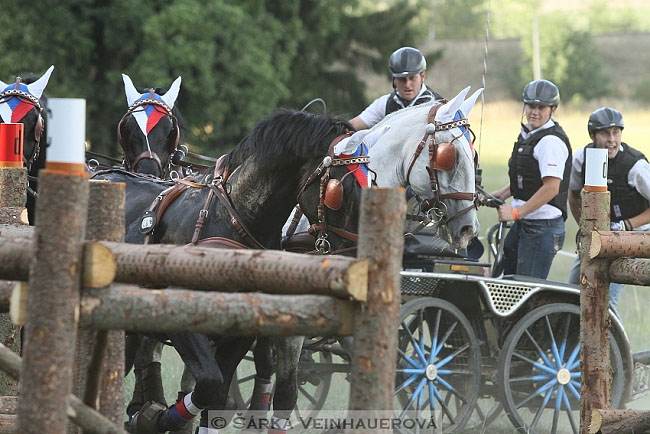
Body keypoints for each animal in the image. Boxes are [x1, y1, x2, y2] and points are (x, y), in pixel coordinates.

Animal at [94, 109, 362, 434]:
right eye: (340, 189)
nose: (355, 257)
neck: (232, 220)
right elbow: (209, 383)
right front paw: (154, 418)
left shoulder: (240, 332)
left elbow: (219, 396)